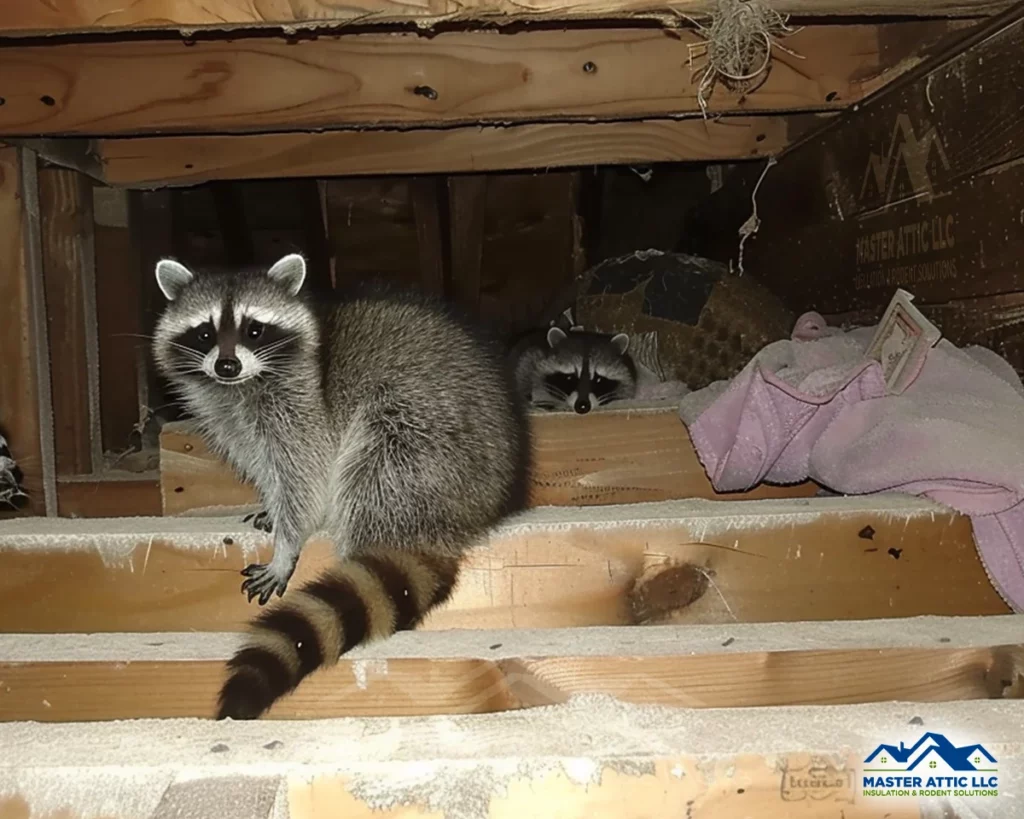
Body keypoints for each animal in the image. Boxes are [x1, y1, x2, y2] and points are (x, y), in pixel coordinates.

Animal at [152, 254, 530, 720]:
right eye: (205, 332)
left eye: (253, 329)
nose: (226, 366)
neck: (242, 386)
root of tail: (467, 515)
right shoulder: (233, 419)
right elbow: (265, 465)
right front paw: (271, 505)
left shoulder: (305, 410)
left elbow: (305, 478)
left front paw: (287, 544)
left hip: (423, 440)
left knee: (372, 464)